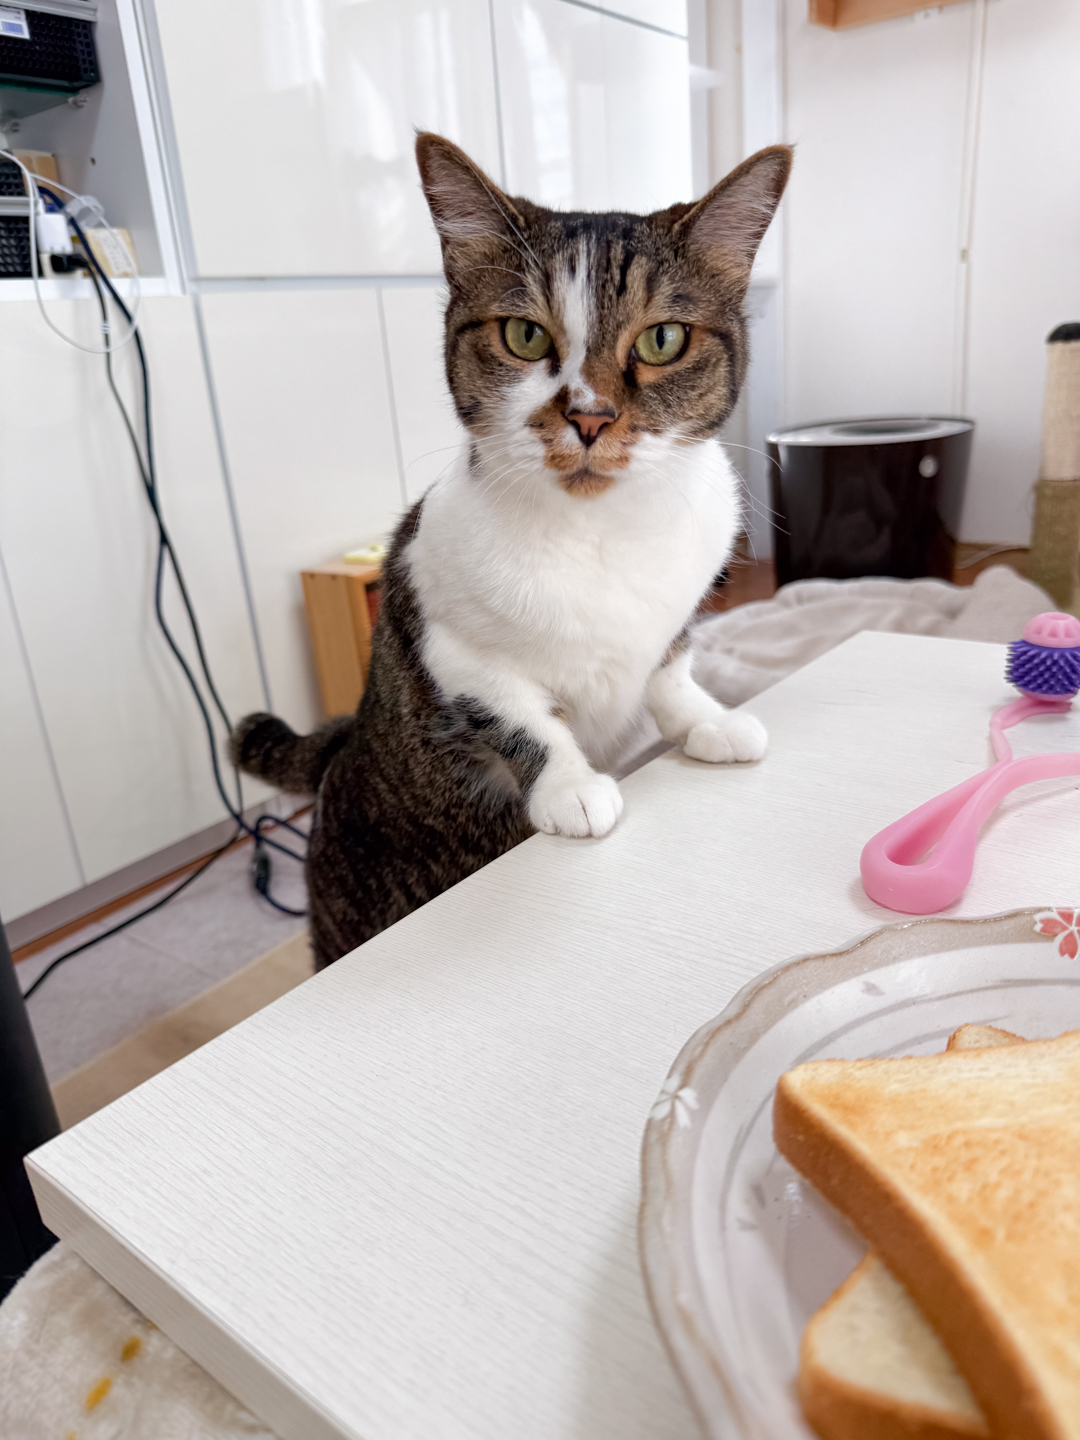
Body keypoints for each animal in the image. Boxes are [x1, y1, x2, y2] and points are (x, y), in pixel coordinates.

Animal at [230, 132, 793, 970]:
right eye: (525, 336)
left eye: (663, 339)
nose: (590, 417)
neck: (603, 532)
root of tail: (345, 741)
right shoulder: (448, 640)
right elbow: (523, 717)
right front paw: (572, 787)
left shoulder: (679, 612)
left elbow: (669, 669)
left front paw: (708, 720)